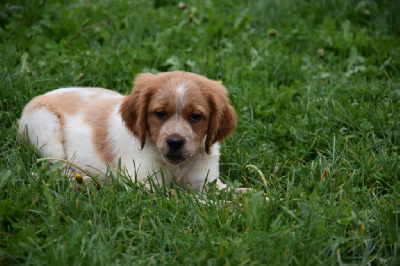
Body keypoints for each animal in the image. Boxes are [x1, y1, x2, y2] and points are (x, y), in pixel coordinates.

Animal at [18, 70, 241, 191]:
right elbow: (184, 198)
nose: (175, 142)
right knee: (58, 169)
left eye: (195, 117)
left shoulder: (207, 181)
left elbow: (232, 193)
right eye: (160, 114)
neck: (177, 166)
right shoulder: (142, 182)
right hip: (44, 126)